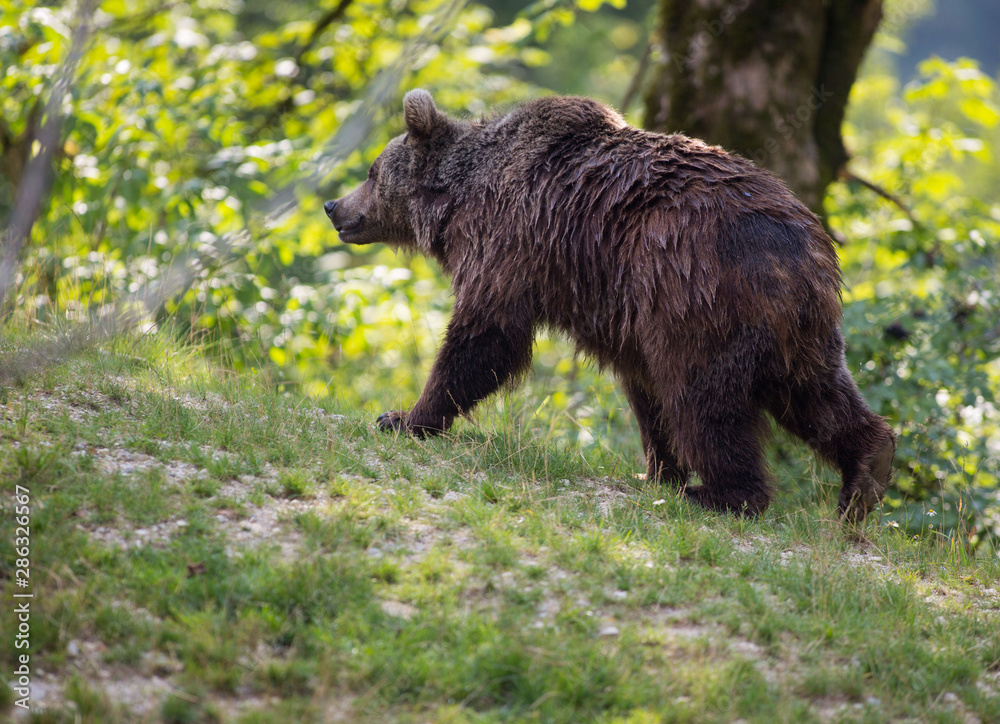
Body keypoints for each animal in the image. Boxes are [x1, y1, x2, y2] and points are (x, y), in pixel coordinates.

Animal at [326, 90, 900, 520]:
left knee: (703, 400)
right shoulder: (616, 305)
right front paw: (656, 470)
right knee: (816, 396)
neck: (458, 204)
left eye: (372, 171)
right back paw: (866, 472)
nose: (334, 205)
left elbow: (485, 337)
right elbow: (642, 389)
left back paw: (723, 494)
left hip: (700, 296)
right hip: (794, 325)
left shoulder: (510, 244)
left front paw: (405, 417)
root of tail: (805, 248)